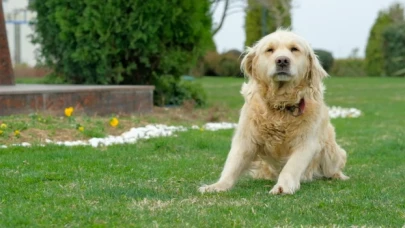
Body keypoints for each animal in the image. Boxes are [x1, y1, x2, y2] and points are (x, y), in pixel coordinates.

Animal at [199, 29, 348, 195]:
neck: (280, 106)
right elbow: (233, 164)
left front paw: (283, 186)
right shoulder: (245, 138)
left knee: (332, 168)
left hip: (331, 152)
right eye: (270, 50)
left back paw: (338, 176)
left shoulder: (307, 142)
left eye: (294, 49)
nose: (282, 60)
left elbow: (291, 166)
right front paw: (218, 185)